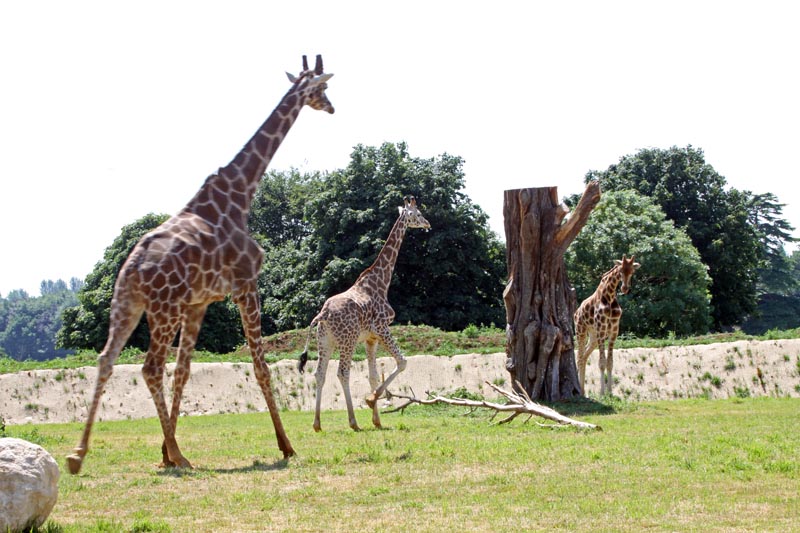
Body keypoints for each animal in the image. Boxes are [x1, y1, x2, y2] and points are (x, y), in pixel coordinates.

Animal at [66, 55, 334, 474]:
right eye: (321, 88)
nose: (332, 107)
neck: (241, 194)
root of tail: (132, 268)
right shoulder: (246, 286)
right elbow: (260, 366)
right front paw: (286, 446)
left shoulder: (200, 303)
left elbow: (184, 372)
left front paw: (163, 449)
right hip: (163, 308)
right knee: (149, 367)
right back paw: (179, 455)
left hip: (128, 305)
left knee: (107, 358)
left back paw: (79, 455)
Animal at [298, 195, 430, 432]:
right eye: (417, 213)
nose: (428, 224)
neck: (381, 281)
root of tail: (323, 315)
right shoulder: (382, 327)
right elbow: (402, 362)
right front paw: (370, 401)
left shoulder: (371, 338)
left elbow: (373, 376)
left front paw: (377, 420)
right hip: (347, 340)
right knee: (342, 373)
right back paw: (353, 423)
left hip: (325, 341)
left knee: (320, 374)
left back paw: (317, 424)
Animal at [574, 255, 640, 396]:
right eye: (620, 271)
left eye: (632, 271)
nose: (624, 288)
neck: (609, 297)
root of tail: (576, 313)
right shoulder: (601, 330)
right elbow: (602, 362)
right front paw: (602, 393)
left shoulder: (614, 331)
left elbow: (610, 362)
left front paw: (610, 392)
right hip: (581, 331)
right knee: (579, 357)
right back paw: (580, 390)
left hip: (593, 337)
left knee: (584, 357)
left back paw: (582, 390)